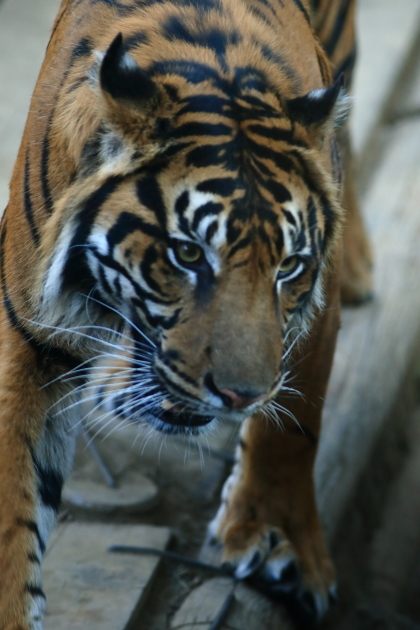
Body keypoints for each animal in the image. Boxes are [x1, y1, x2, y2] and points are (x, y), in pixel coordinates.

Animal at [0, 0, 374, 628]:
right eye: (189, 254)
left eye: (289, 267)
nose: (240, 396)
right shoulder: (28, 331)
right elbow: (13, 515)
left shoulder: (311, 312)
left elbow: (298, 424)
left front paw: (280, 539)